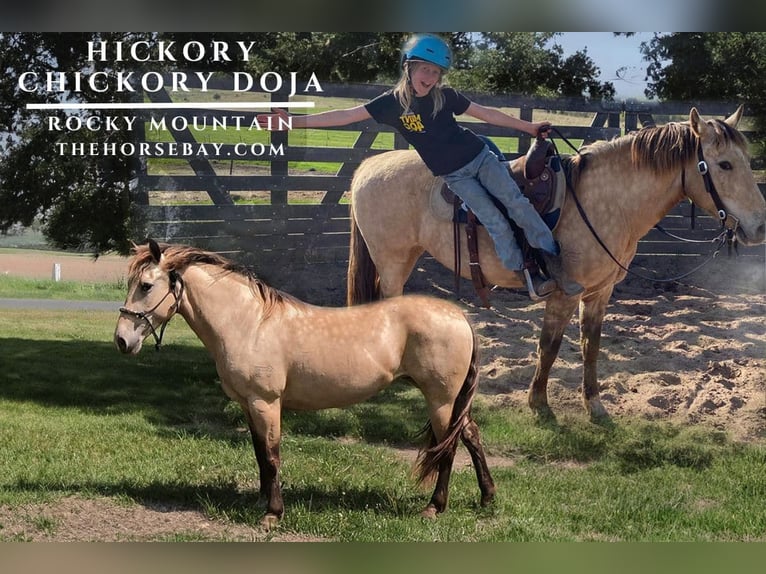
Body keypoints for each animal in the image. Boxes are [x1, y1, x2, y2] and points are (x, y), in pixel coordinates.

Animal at [113, 239, 495, 529]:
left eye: (146, 285)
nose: (121, 340)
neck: (248, 323)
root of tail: (460, 316)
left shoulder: (266, 402)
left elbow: (272, 455)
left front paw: (273, 514)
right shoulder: (248, 404)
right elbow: (259, 454)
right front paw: (260, 502)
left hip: (441, 399)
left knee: (449, 447)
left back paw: (435, 507)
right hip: (452, 400)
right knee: (471, 435)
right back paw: (487, 497)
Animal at [347, 105, 766, 420]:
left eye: (747, 161)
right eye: (724, 164)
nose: (759, 226)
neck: (607, 200)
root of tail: (367, 167)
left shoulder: (599, 293)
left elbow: (591, 346)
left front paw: (594, 405)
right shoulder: (564, 293)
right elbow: (549, 345)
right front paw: (539, 405)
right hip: (393, 261)